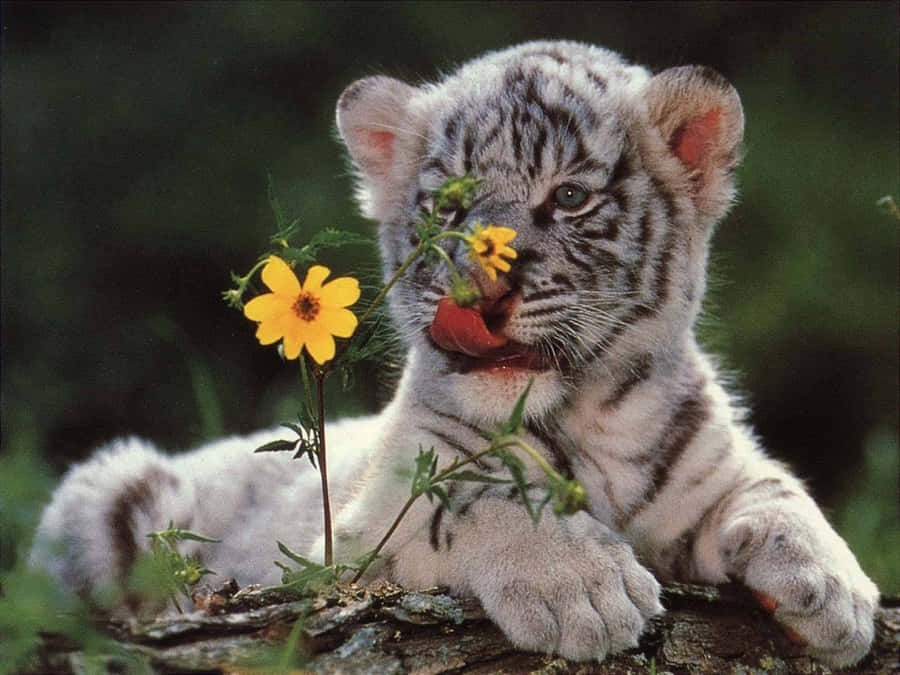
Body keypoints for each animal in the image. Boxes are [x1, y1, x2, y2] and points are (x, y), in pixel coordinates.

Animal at [31, 40, 878, 668]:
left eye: (569, 198)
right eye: (449, 207)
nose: (481, 295)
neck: (591, 420)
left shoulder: (711, 466)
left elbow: (777, 489)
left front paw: (836, 590)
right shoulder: (365, 526)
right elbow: (477, 499)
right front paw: (586, 589)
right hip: (105, 489)